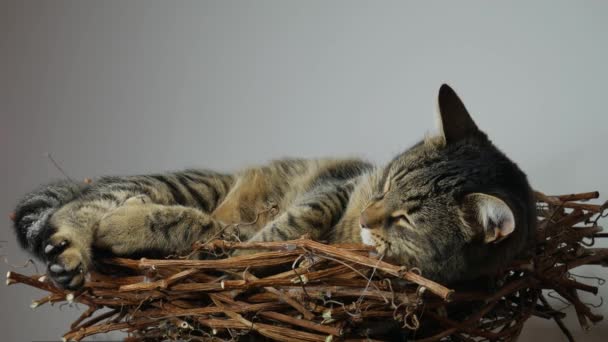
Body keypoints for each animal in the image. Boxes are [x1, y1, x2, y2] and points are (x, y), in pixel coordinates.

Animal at [11, 85, 536, 288]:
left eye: (406, 219)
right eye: (385, 183)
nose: (371, 218)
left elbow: (227, 239)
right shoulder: (337, 189)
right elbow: (292, 222)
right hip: (186, 185)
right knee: (82, 205)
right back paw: (72, 248)